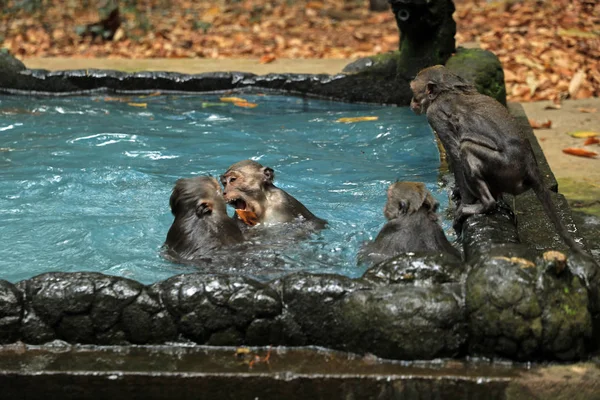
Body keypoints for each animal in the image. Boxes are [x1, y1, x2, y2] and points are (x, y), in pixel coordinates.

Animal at [410, 65, 592, 260]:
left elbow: (456, 155)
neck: (447, 89)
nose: (412, 102)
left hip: (505, 168)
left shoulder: (435, 115)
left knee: (465, 147)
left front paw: (463, 204)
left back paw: (486, 204)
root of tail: (532, 166)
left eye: (414, 91)